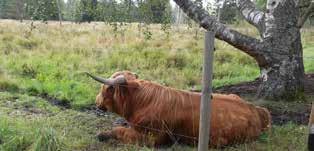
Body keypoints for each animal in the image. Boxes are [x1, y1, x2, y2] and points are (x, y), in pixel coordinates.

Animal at [87, 71, 272, 147]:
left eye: (106, 88)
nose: (96, 100)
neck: (141, 102)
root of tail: (256, 109)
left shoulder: (152, 138)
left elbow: (120, 130)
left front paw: (102, 134)